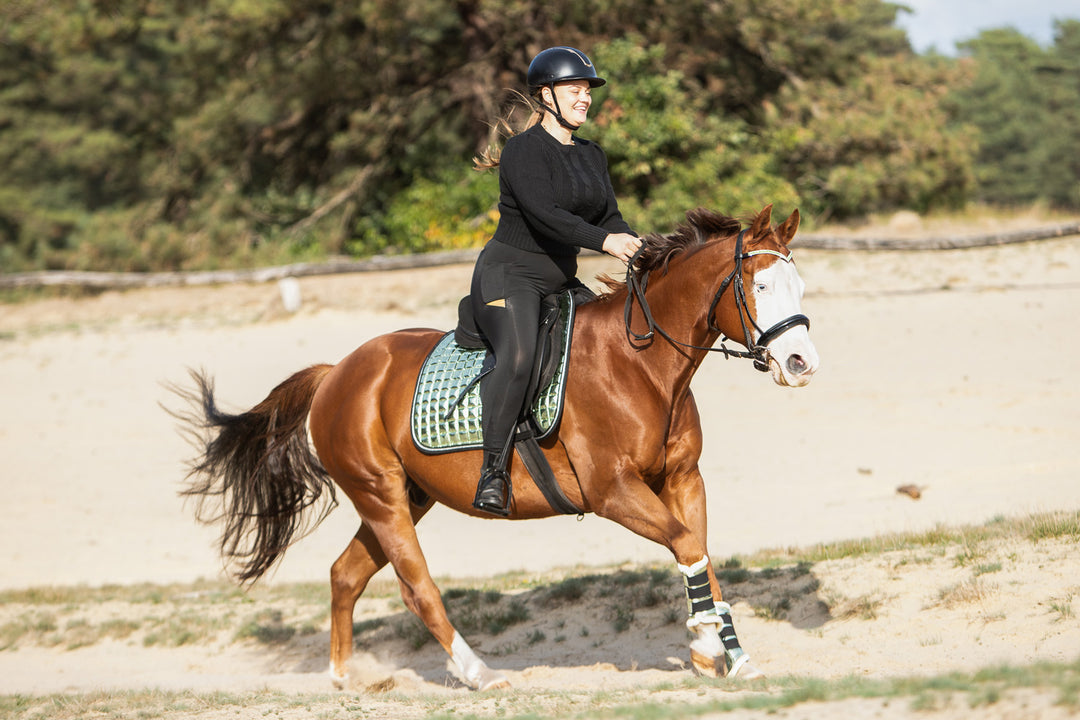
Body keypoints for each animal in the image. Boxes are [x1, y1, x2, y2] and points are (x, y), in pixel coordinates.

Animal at [174, 205, 816, 690]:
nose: (801, 364)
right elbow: (687, 545)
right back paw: (479, 674)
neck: (642, 365)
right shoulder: (614, 492)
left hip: (407, 498)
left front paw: (732, 657)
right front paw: (706, 645)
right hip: (381, 497)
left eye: (799, 286)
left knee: (344, 575)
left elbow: (700, 555)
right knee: (417, 589)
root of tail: (338, 372)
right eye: (759, 286)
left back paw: (343, 678)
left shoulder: (683, 480)